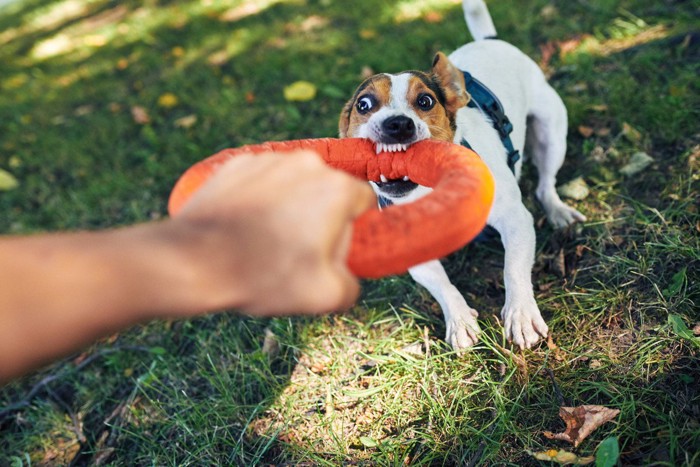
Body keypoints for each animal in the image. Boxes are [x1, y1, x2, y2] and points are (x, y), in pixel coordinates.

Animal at [340, 0, 584, 352]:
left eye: (425, 100)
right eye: (363, 105)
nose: (397, 124)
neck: (430, 192)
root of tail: (491, 40)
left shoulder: (515, 220)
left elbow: (513, 269)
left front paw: (521, 314)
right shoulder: (417, 257)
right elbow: (443, 286)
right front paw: (459, 320)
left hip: (552, 132)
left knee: (545, 184)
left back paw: (557, 210)